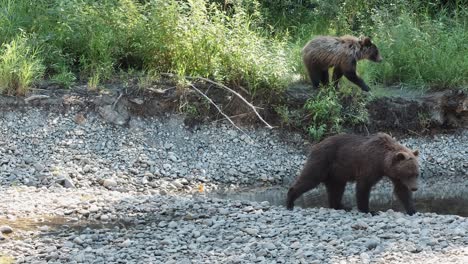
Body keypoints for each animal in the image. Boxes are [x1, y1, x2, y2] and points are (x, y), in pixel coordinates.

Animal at [286, 133, 420, 216]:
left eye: (416, 174)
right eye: (409, 174)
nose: (415, 188)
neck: (382, 162)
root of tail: (316, 145)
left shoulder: (395, 175)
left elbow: (401, 191)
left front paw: (413, 210)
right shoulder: (369, 165)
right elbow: (364, 186)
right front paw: (369, 210)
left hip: (336, 173)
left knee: (337, 188)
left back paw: (342, 206)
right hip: (323, 161)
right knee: (310, 178)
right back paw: (290, 202)